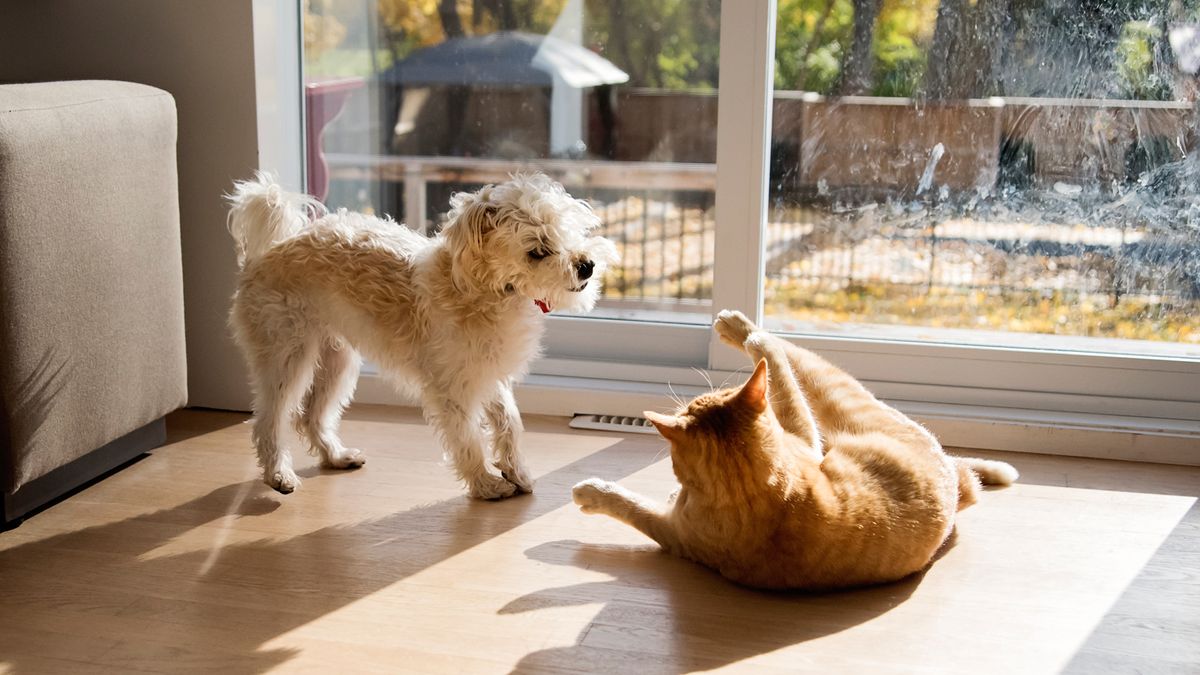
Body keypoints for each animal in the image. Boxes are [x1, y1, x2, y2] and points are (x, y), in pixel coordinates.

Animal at [225, 171, 619, 499]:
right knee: (269, 420)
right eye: (537, 251)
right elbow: (467, 438)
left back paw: (336, 457)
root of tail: (267, 251)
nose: (587, 265)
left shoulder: (485, 373)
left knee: (312, 416)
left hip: (338, 361)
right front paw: (487, 485)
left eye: (569, 231)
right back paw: (279, 475)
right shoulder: (453, 390)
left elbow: (509, 422)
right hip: (287, 358)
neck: (484, 290)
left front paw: (517, 473)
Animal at [571, 309, 1012, 588]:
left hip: (843, 401)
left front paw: (592, 492)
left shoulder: (671, 531)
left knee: (784, 352)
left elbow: (629, 504)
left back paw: (740, 326)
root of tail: (952, 484)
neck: (753, 492)